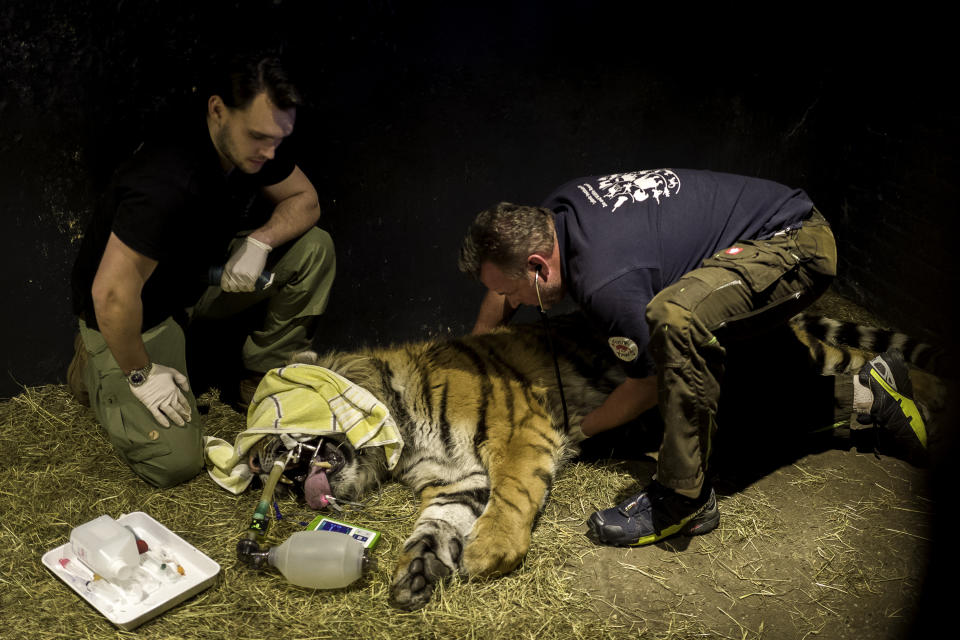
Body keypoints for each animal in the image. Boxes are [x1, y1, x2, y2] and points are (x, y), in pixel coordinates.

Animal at [253, 310, 944, 608]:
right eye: (265, 467)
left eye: (276, 441)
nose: (284, 480)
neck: (403, 426)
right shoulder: (458, 478)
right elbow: (439, 523)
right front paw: (419, 572)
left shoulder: (519, 430)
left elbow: (511, 496)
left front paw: (489, 553)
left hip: (763, 376)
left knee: (849, 371)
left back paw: (910, 399)